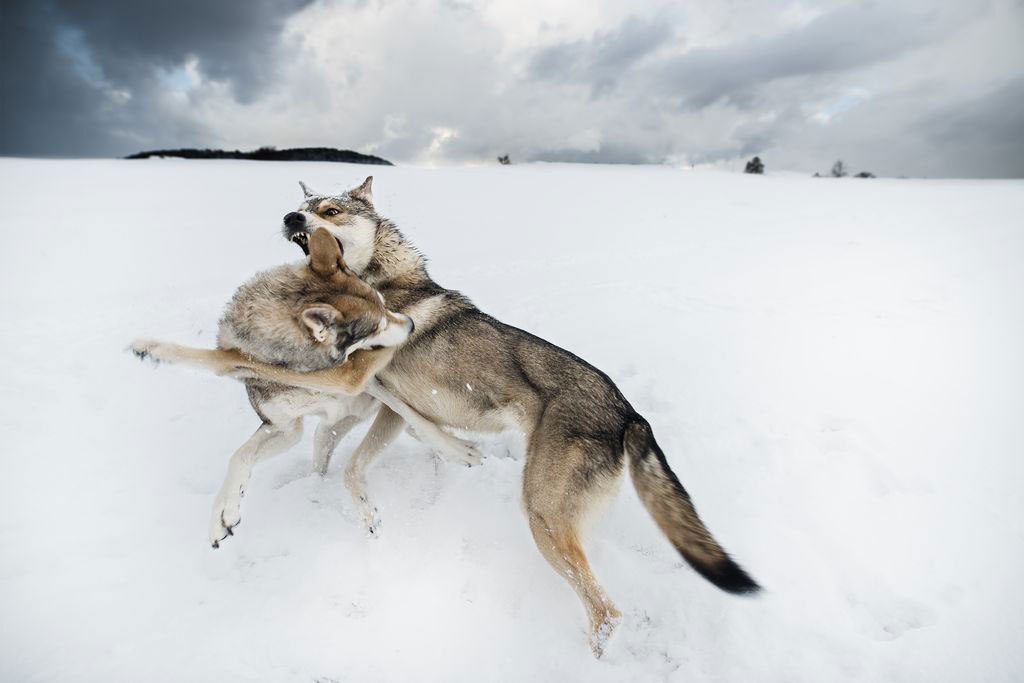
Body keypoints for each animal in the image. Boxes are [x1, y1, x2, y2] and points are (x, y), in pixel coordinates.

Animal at [134, 227, 481, 548]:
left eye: (385, 306)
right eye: (377, 326)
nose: (410, 324)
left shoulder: (363, 379)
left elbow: (411, 414)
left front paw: (459, 450)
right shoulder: (286, 427)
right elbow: (239, 455)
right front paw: (224, 514)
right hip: (324, 434)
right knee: (326, 460)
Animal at [247, 178, 761, 655]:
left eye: (329, 211)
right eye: (301, 206)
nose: (291, 218)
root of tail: (629, 413)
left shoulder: (372, 382)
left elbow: (399, 431)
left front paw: (461, 453)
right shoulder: (375, 397)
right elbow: (346, 444)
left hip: (544, 519)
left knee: (605, 612)